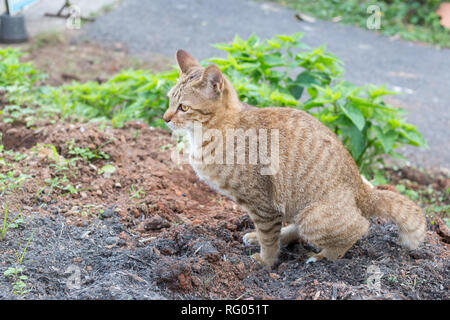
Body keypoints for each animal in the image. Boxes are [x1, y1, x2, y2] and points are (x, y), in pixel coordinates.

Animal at [164, 48, 426, 266]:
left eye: (183, 107)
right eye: (169, 101)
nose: (165, 118)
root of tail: (364, 191)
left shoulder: (263, 205)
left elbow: (268, 239)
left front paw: (265, 262)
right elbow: (269, 234)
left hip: (313, 218)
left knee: (360, 228)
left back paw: (322, 256)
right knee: (297, 227)